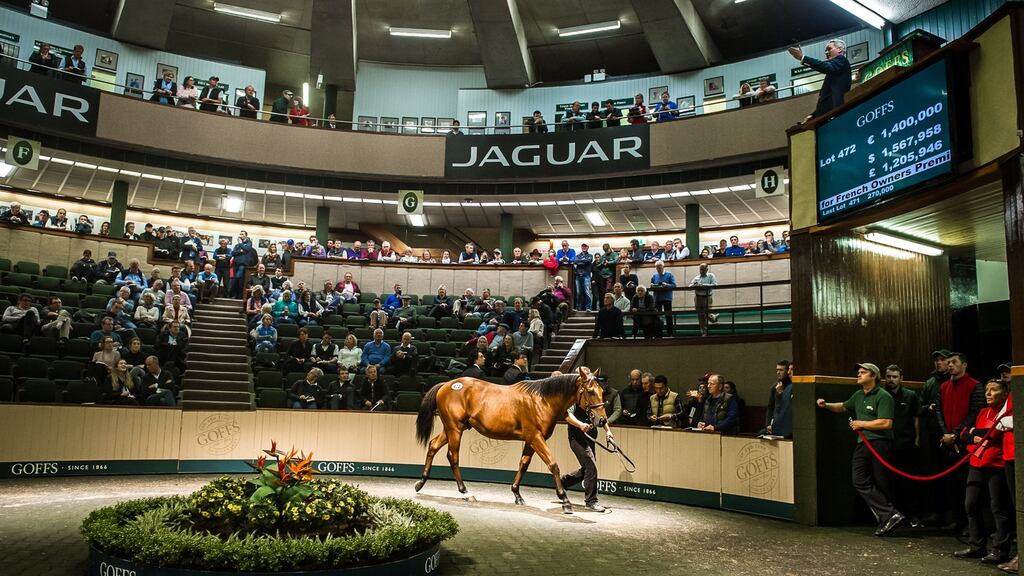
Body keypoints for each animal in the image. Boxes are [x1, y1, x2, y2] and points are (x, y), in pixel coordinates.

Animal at [414, 366, 607, 514]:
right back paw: (465, 492)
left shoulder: (530, 440)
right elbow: (553, 464)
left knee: (433, 445)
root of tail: (447, 385)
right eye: (590, 391)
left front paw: (517, 495)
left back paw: (421, 483)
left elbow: (523, 464)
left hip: (453, 429)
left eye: (602, 391)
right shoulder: (536, 438)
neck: (542, 400)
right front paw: (565, 501)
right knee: (452, 456)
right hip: (454, 429)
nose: (602, 421)